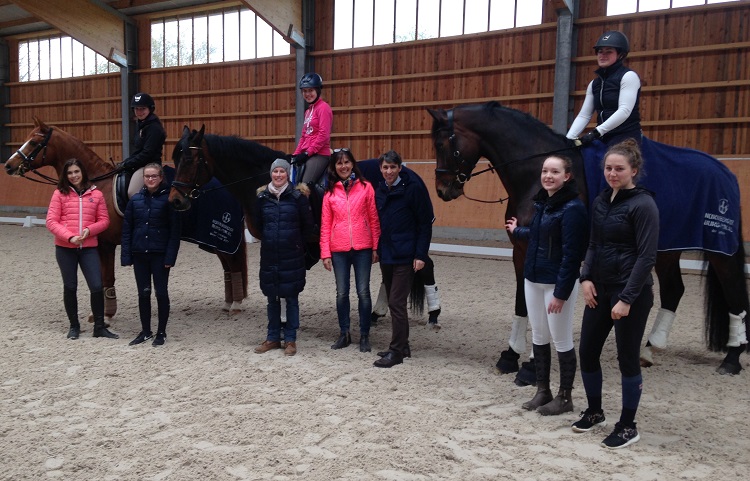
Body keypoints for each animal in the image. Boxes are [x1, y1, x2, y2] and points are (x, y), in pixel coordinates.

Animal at [3, 116, 250, 318]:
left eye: (33, 142)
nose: (8, 165)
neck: (97, 183)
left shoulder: (106, 244)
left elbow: (106, 278)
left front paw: (106, 315)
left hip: (219, 235)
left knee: (233, 262)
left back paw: (236, 304)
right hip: (212, 240)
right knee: (228, 265)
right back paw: (229, 303)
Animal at [432, 101, 748, 376]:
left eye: (442, 144)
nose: (443, 190)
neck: (537, 176)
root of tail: (724, 171)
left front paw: (532, 362)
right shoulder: (521, 251)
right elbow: (523, 301)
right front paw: (510, 356)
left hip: (719, 249)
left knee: (733, 290)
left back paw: (732, 358)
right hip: (667, 248)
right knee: (674, 290)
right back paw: (649, 350)